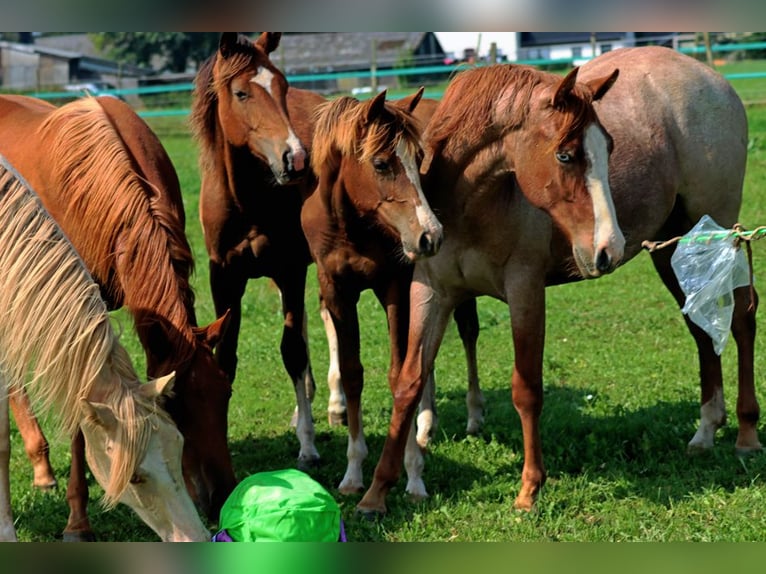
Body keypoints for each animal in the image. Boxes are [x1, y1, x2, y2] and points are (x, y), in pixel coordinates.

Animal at [300, 89, 444, 496]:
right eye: (380, 164)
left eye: (418, 160)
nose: (430, 235)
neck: (353, 228)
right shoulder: (337, 290)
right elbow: (352, 373)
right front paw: (353, 474)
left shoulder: (394, 287)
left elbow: (401, 374)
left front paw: (413, 474)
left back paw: (425, 429)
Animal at [354, 59, 624, 516]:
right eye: (565, 154)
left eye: (609, 148)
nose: (611, 248)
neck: (471, 204)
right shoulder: (430, 292)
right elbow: (409, 381)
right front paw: (375, 492)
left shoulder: (525, 292)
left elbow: (527, 389)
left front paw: (529, 489)